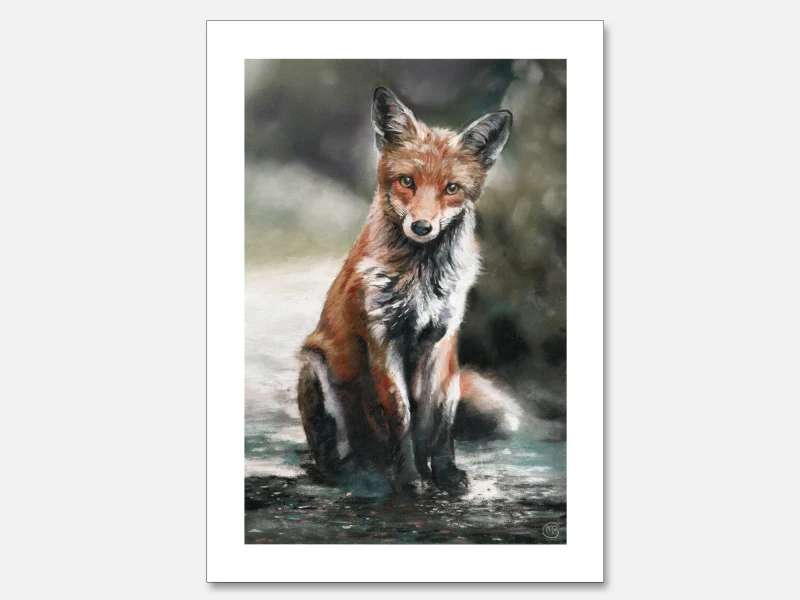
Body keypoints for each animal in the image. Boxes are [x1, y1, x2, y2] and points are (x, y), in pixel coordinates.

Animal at [297, 86, 518, 491]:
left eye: (451, 188)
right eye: (407, 181)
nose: (421, 227)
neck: (421, 278)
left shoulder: (441, 340)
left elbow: (439, 417)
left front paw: (444, 472)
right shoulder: (384, 339)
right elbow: (401, 414)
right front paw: (410, 477)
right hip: (314, 367)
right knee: (334, 451)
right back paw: (350, 469)